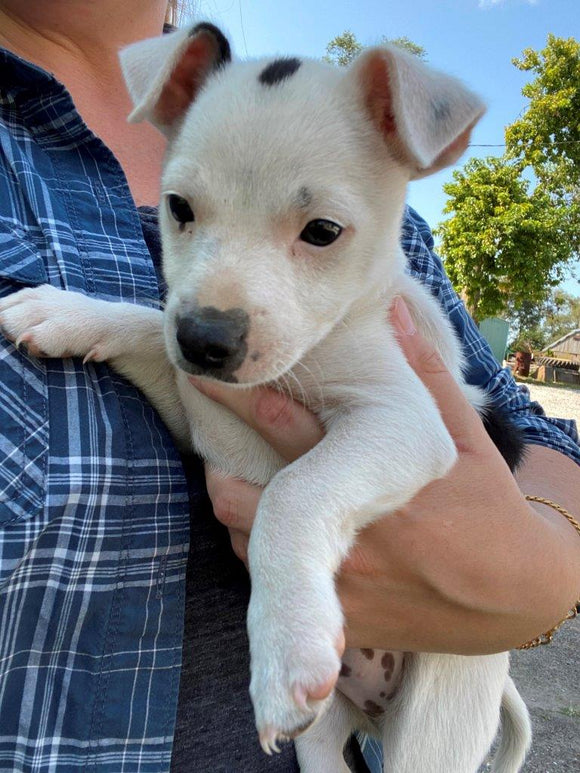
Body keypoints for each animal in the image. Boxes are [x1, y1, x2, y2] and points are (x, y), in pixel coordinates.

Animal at [0, 24, 532, 772]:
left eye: (323, 232)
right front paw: (65, 311)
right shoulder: (198, 404)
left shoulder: (403, 417)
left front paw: (284, 649)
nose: (204, 340)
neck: (294, 364)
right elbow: (143, 325)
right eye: (179, 208)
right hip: (324, 738)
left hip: (434, 722)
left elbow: (295, 490)